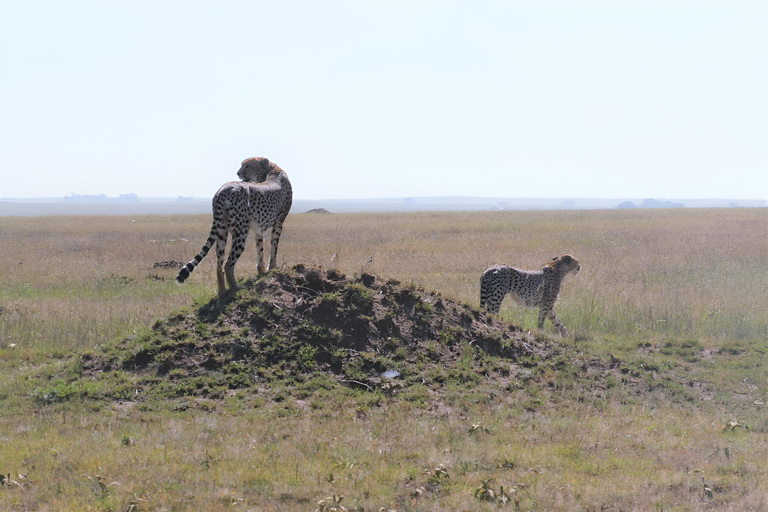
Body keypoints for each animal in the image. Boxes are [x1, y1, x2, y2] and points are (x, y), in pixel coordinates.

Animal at [177, 158, 294, 298]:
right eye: (243, 165)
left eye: (248, 166)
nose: (238, 173)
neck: (272, 170)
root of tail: (223, 190)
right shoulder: (279, 222)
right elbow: (274, 248)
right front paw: (272, 268)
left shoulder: (259, 228)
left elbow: (260, 250)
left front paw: (261, 272)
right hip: (240, 232)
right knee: (228, 264)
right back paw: (236, 289)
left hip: (222, 232)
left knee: (219, 265)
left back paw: (222, 294)